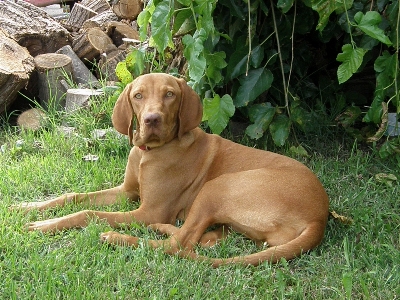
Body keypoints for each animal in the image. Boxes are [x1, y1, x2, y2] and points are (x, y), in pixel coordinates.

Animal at [14, 72, 328, 268]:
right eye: (138, 96)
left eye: (169, 95)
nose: (152, 119)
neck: (149, 153)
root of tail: (320, 216)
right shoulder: (127, 192)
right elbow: (75, 197)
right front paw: (27, 207)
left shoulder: (148, 210)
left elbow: (88, 213)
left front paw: (44, 225)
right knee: (203, 239)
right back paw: (164, 229)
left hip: (217, 187)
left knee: (178, 246)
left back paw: (120, 238)